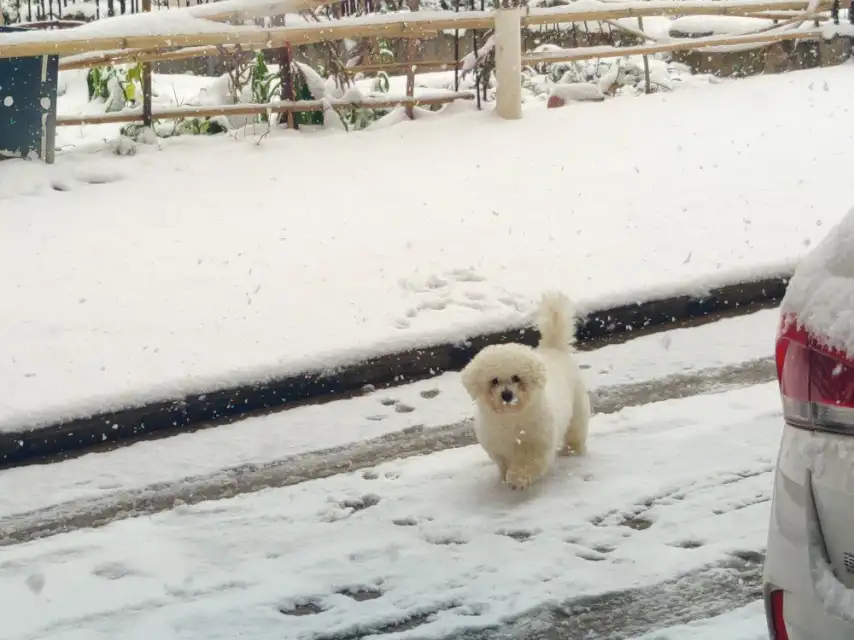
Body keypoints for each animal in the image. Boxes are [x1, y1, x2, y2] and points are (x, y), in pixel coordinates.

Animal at [462, 292, 596, 492]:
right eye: (494, 381)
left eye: (517, 378)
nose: (507, 395)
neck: (511, 418)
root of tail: (554, 349)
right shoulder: (497, 447)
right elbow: (503, 462)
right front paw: (505, 476)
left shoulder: (538, 444)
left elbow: (530, 462)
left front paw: (517, 479)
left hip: (577, 408)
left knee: (575, 432)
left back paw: (572, 451)